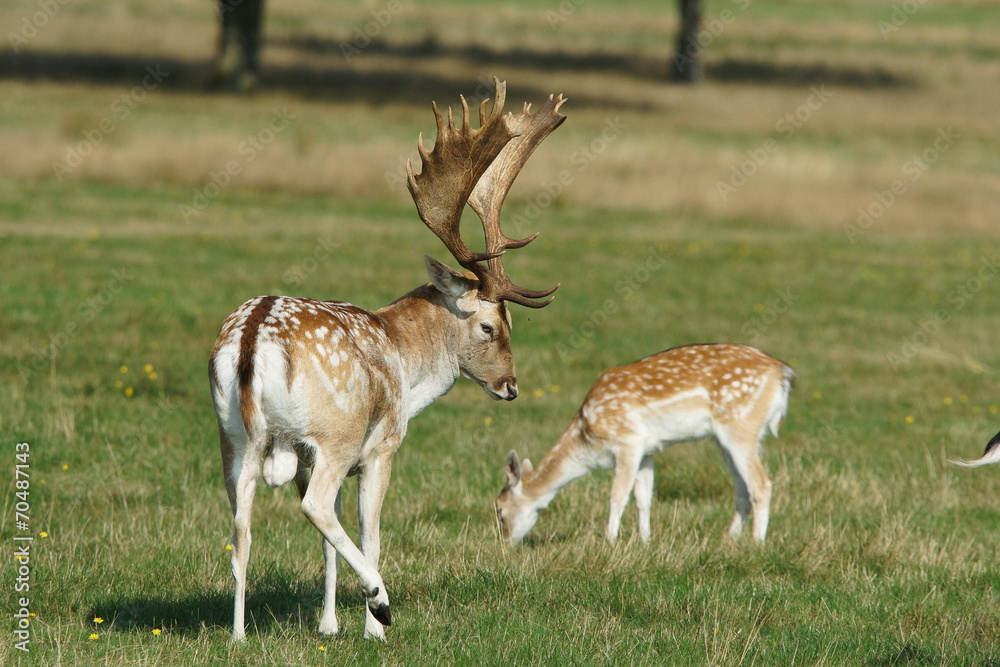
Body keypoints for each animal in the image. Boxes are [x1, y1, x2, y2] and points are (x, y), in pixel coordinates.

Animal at [209, 78, 566, 642]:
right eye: (491, 326)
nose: (511, 385)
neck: (405, 363)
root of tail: (251, 338)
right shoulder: (379, 449)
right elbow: (367, 529)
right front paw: (369, 625)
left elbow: (328, 545)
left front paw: (328, 625)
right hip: (334, 432)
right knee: (313, 508)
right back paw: (381, 600)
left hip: (234, 438)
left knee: (241, 529)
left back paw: (239, 635)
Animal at [495, 344, 795, 545]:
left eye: (499, 510)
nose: (505, 543)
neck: (588, 437)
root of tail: (783, 373)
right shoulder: (648, 450)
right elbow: (643, 497)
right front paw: (645, 540)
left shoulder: (628, 441)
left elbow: (617, 495)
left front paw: (610, 541)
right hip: (725, 438)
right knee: (742, 489)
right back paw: (729, 540)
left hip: (740, 425)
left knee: (761, 484)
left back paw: (757, 544)